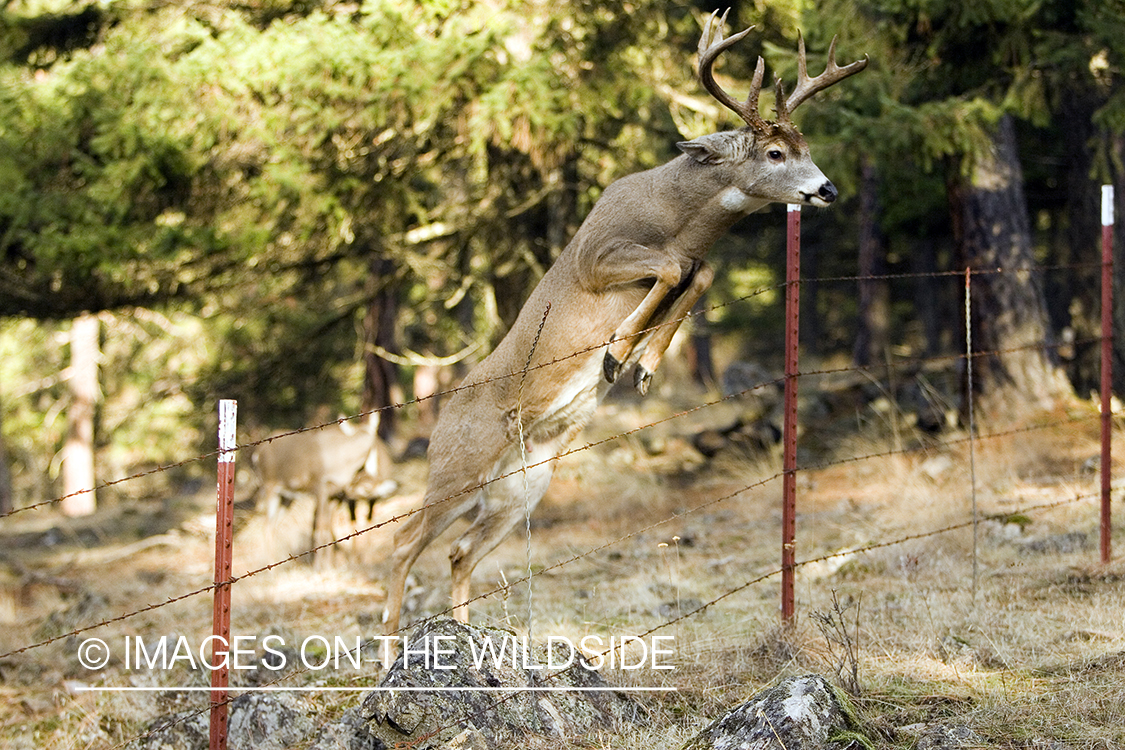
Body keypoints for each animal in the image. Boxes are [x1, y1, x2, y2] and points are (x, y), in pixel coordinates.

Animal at [255, 413, 391, 566]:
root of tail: (257, 454)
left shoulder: (332, 493)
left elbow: (326, 525)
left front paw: (327, 563)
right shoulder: (320, 485)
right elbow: (320, 524)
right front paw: (319, 565)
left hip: (286, 496)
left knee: (274, 524)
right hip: (269, 485)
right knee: (266, 524)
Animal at [382, 10, 864, 647]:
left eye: (806, 147)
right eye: (776, 152)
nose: (828, 189)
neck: (676, 218)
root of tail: (440, 421)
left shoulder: (693, 262)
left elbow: (699, 273)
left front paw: (642, 365)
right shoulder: (596, 255)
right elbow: (670, 268)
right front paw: (615, 350)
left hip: (521, 488)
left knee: (459, 552)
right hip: (457, 468)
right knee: (402, 543)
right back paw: (387, 646)